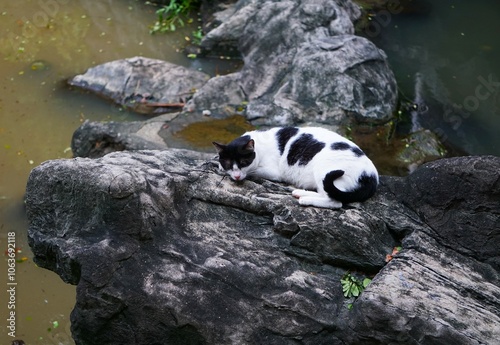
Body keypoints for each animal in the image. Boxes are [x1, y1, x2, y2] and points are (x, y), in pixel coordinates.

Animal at [211, 125, 378, 207]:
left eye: (243, 163)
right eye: (228, 163)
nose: (237, 176)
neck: (259, 145)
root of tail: (373, 176)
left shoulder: (274, 172)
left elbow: (254, 171)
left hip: (324, 169)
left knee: (335, 202)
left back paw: (305, 199)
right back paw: (300, 193)